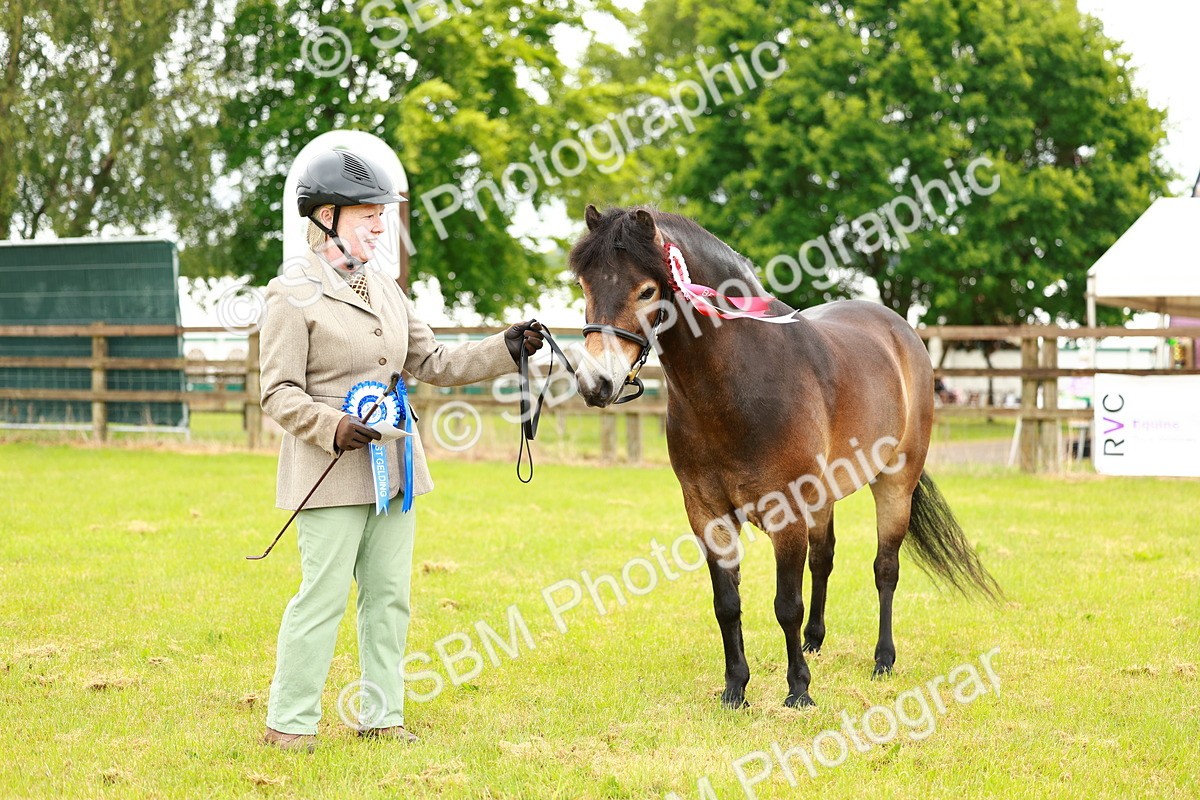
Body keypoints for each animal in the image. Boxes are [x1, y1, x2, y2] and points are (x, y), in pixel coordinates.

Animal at [568, 204, 1000, 708]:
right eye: (585, 286)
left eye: (647, 290)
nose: (596, 383)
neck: (739, 382)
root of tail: (900, 332)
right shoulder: (707, 515)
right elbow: (727, 605)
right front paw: (735, 688)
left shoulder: (786, 512)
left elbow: (786, 605)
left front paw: (798, 691)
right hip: (824, 496)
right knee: (824, 559)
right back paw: (815, 639)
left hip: (896, 483)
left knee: (885, 570)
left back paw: (883, 659)